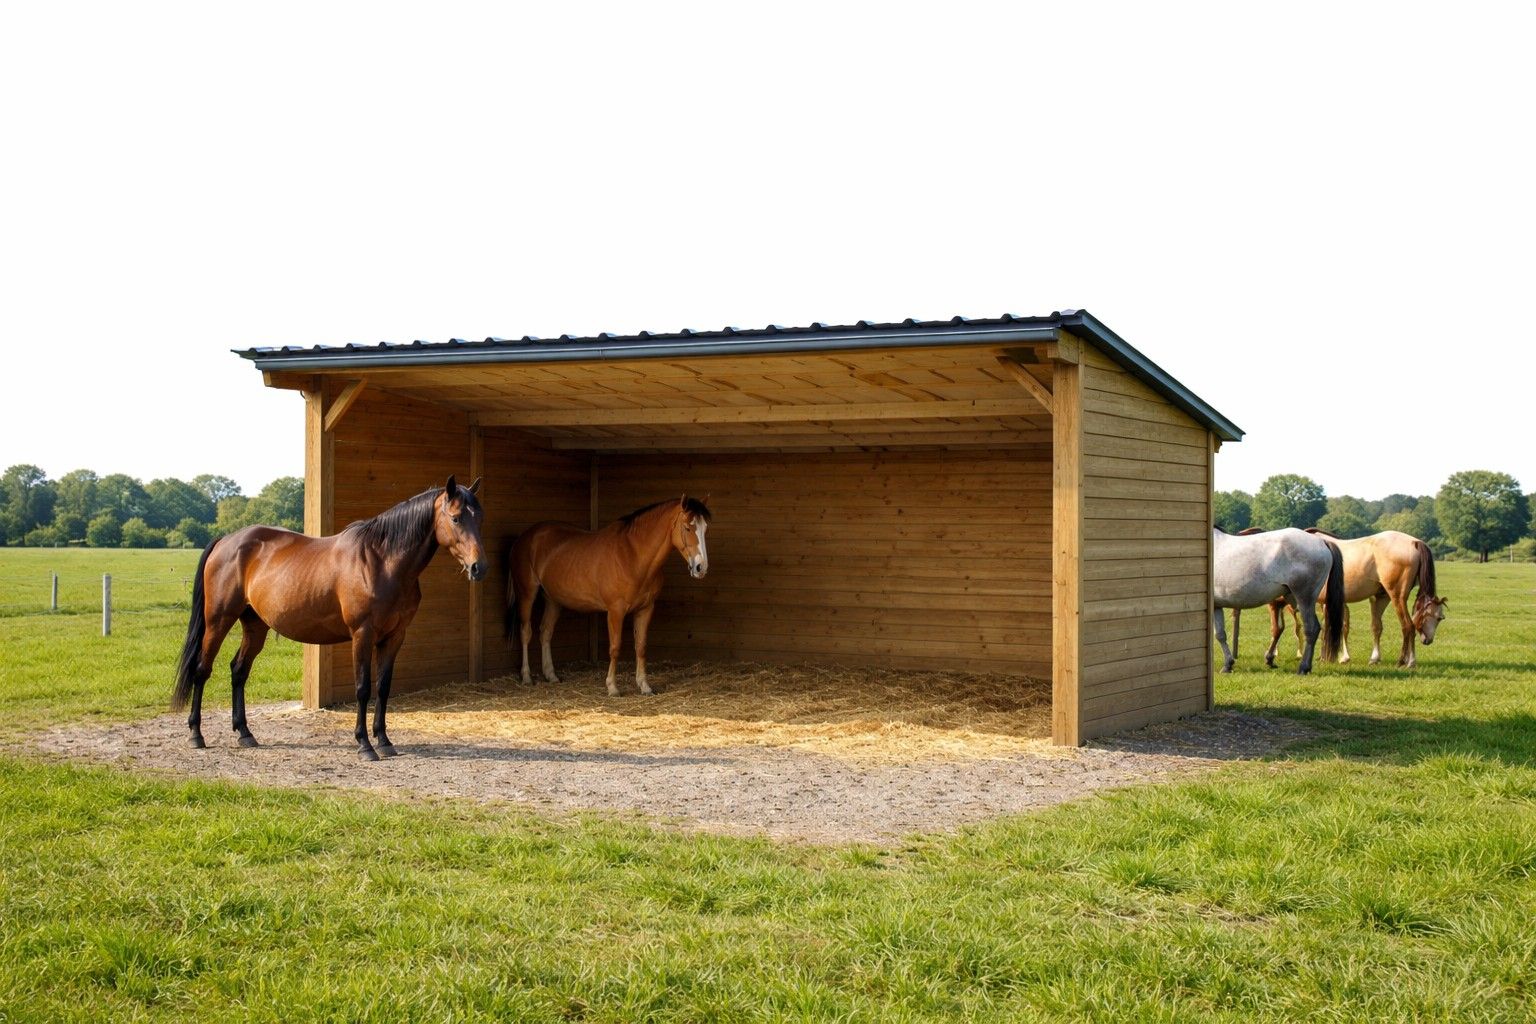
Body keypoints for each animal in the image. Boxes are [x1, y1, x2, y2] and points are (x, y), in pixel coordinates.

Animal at [172, 477, 485, 761]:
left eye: (479, 518)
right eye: (456, 518)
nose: (478, 567)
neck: (382, 561)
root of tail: (224, 541)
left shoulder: (395, 636)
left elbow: (383, 688)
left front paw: (384, 741)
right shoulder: (362, 634)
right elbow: (363, 688)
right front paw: (365, 745)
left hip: (255, 626)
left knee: (238, 671)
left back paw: (245, 734)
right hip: (218, 621)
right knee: (202, 670)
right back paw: (196, 735)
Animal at [508, 495, 710, 697]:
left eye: (705, 528)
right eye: (687, 527)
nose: (701, 568)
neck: (633, 556)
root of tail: (524, 538)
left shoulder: (645, 609)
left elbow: (641, 646)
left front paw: (644, 685)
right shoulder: (615, 611)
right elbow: (615, 647)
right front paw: (612, 687)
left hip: (553, 599)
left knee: (546, 632)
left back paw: (551, 675)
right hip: (527, 594)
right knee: (525, 632)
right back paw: (527, 677)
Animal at [1212, 527, 1345, 674]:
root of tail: (1321, 541)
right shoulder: (1216, 605)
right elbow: (1220, 634)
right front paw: (1228, 664)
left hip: (1305, 598)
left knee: (1312, 629)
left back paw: (1303, 667)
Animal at [1258, 529, 1446, 668]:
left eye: (1440, 618)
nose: (1428, 640)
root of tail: (1414, 542)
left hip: (1397, 596)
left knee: (1408, 626)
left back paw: (1406, 661)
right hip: (1385, 597)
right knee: (1390, 626)